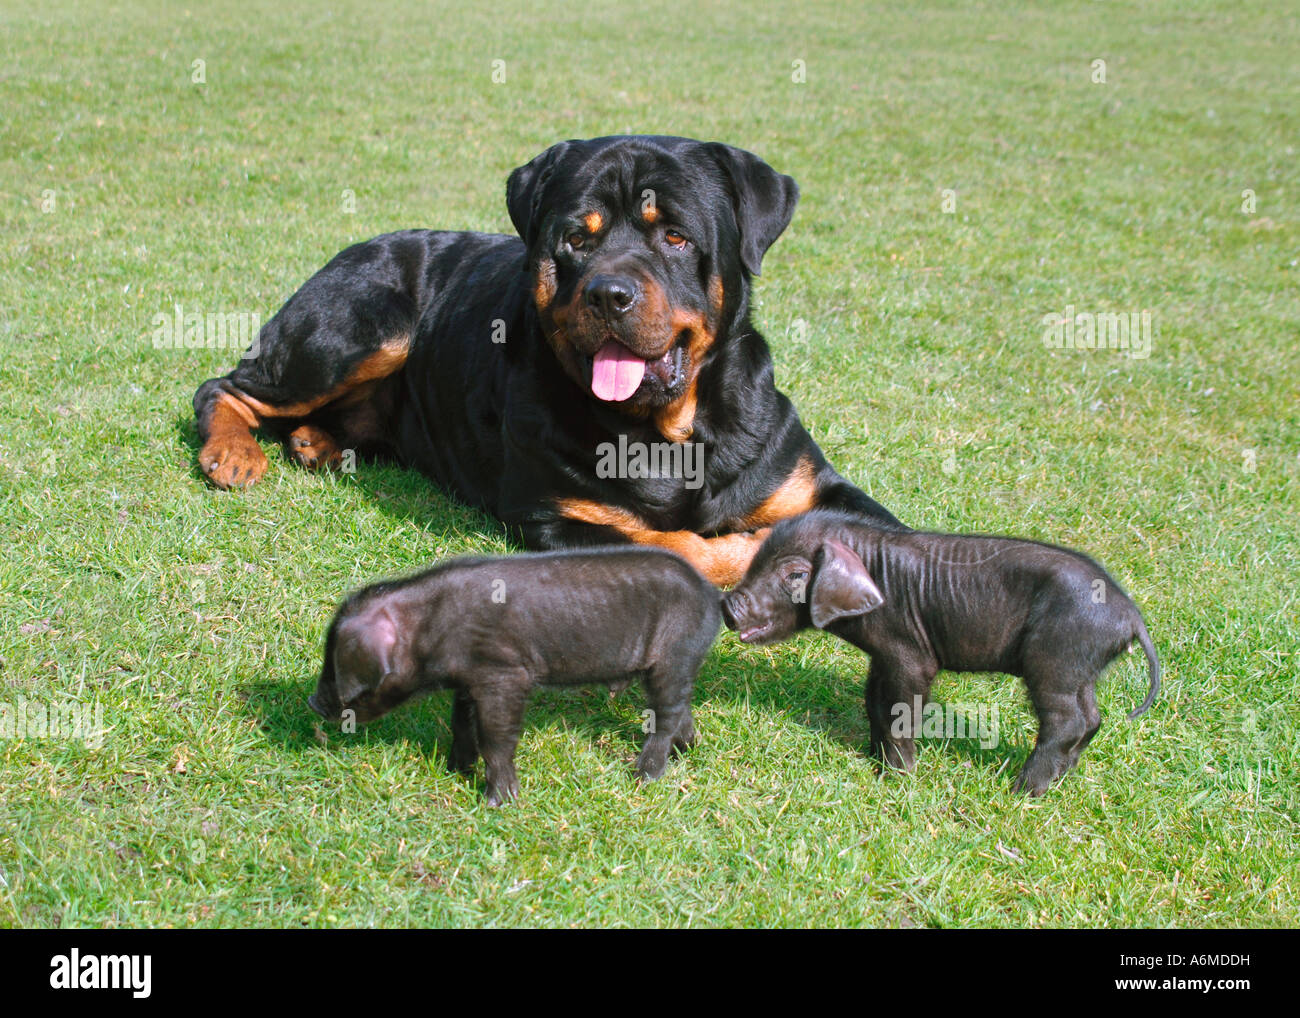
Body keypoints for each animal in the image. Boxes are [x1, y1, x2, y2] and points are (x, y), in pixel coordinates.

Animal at [192, 132, 904, 585]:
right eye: (575, 240)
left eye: (675, 236)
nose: (609, 293)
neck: (675, 430)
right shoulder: (560, 518)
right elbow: (681, 548)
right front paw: (750, 550)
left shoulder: (815, 485)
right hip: (362, 324)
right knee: (224, 387)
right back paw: (233, 452)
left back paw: (317, 443)